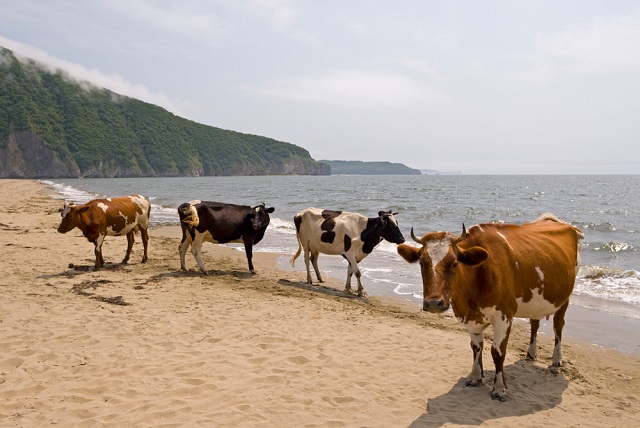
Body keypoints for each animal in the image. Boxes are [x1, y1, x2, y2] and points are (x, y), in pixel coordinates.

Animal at [400, 214, 584, 402]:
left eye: (454, 263)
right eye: (422, 263)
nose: (433, 303)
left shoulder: (504, 316)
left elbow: (498, 352)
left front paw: (500, 389)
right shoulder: (472, 318)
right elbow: (476, 347)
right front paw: (476, 377)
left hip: (565, 296)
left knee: (558, 325)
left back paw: (557, 359)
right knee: (535, 322)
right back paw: (531, 353)